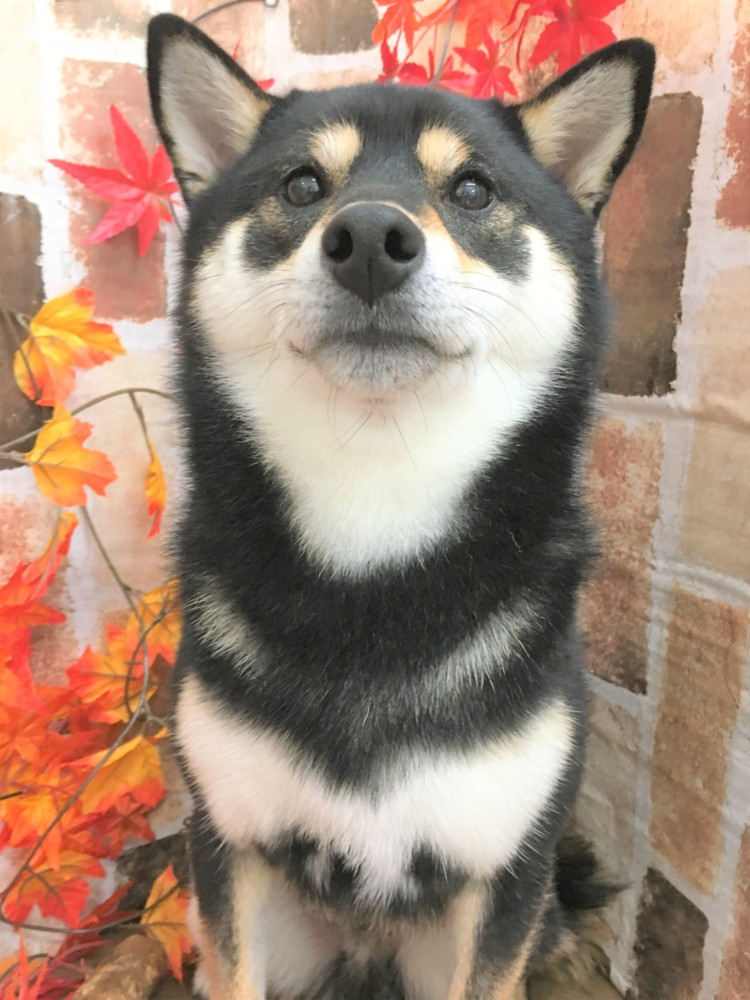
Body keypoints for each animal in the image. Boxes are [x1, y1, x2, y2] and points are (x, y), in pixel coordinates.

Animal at [146, 15, 654, 999]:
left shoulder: (505, 872)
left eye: (473, 189)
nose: (374, 233)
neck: (372, 538)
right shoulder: (226, 843)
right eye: (303, 185)